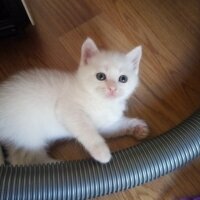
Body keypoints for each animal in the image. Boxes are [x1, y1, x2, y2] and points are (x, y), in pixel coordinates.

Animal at [0, 38, 148, 166]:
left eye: (123, 79)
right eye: (100, 76)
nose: (112, 88)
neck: (100, 102)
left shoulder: (104, 125)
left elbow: (117, 126)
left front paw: (137, 127)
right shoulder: (67, 109)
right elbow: (87, 130)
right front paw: (102, 152)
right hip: (28, 135)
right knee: (27, 160)